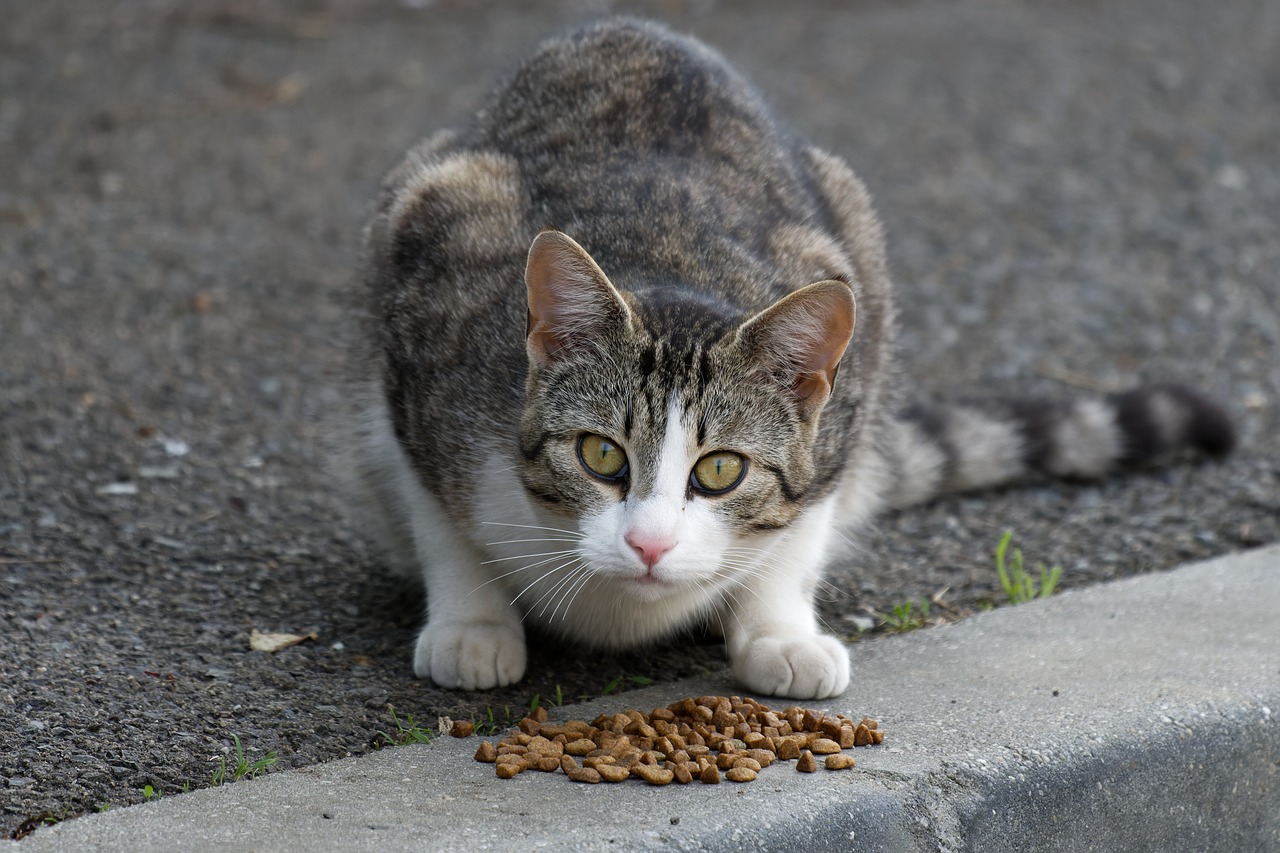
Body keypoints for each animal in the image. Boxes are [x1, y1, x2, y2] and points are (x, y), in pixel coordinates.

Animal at [335, 18, 1233, 696]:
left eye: (720, 471)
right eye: (601, 455)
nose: (649, 546)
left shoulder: (848, 377)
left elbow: (800, 526)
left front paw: (778, 630)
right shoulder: (425, 336)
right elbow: (439, 517)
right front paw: (472, 622)